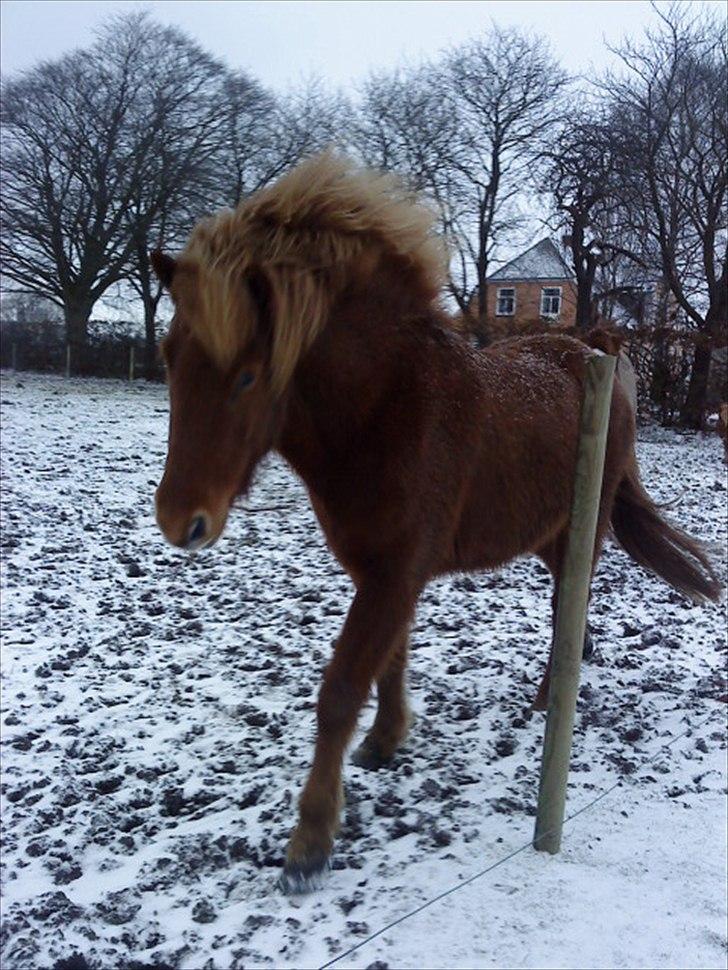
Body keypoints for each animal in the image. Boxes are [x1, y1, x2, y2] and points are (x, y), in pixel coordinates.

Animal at [151, 153, 720, 892]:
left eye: (249, 376)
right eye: (169, 358)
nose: (179, 521)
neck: (387, 411)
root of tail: (602, 356)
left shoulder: (396, 570)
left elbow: (341, 689)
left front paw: (311, 842)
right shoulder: (381, 569)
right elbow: (389, 660)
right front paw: (386, 741)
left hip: (580, 532)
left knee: (569, 603)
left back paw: (549, 699)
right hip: (543, 535)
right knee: (573, 606)